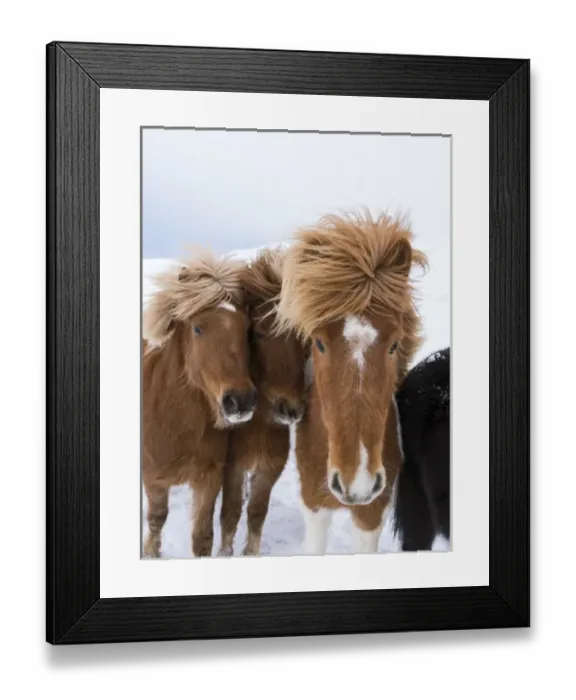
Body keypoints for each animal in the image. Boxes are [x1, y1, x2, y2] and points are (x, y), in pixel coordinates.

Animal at [141, 251, 257, 558]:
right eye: (197, 327)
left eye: (247, 328)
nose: (240, 400)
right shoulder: (153, 477)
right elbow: (156, 519)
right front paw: (151, 552)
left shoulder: (210, 476)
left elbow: (202, 537)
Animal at [218, 248, 309, 557]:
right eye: (256, 334)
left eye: (301, 339)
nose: (290, 409)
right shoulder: (232, 466)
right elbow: (230, 512)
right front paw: (224, 553)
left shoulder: (270, 468)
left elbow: (257, 512)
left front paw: (251, 552)